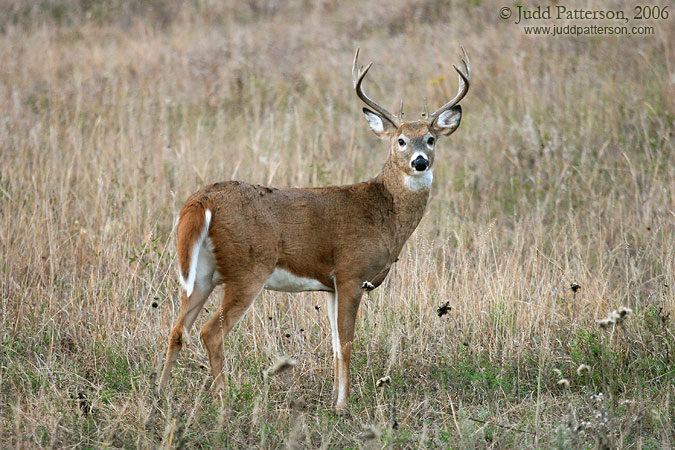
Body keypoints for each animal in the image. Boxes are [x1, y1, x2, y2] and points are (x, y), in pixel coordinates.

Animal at [160, 48, 472, 412]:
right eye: (401, 141)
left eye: (431, 139)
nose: (420, 161)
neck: (383, 213)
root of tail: (201, 201)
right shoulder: (351, 273)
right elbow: (347, 343)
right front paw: (343, 406)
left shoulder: (331, 286)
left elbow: (335, 345)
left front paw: (336, 401)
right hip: (248, 267)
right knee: (211, 332)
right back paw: (224, 400)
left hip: (201, 273)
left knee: (177, 329)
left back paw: (159, 395)